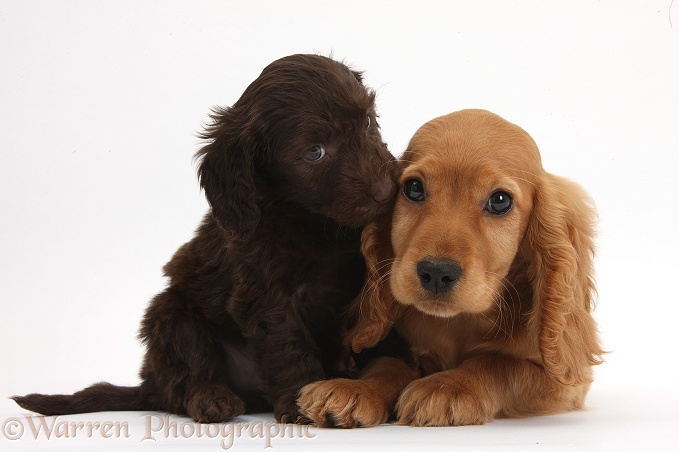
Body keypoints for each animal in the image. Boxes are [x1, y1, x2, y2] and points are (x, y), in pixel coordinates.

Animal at [300, 109, 604, 428]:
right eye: (413, 188)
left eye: (500, 201)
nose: (436, 273)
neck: (460, 322)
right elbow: (390, 364)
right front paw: (355, 389)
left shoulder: (564, 384)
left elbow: (498, 363)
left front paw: (447, 387)